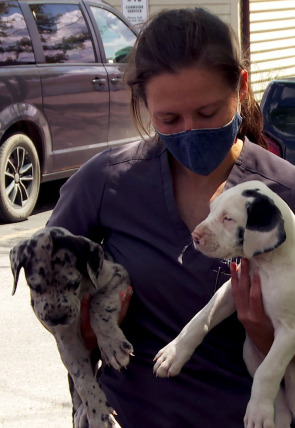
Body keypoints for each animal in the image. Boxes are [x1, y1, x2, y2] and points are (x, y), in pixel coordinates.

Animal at [10, 226, 133, 426]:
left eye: (73, 283)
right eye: (34, 286)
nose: (57, 317)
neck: (82, 290)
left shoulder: (117, 275)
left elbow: (98, 303)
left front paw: (112, 346)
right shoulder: (67, 341)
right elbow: (83, 381)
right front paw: (99, 415)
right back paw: (82, 414)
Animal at [154, 180, 295, 428]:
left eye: (228, 218)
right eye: (211, 210)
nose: (195, 235)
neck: (269, 264)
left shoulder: (290, 331)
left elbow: (269, 370)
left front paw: (257, 411)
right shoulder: (230, 291)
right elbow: (199, 319)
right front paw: (173, 352)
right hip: (249, 353)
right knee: (280, 399)